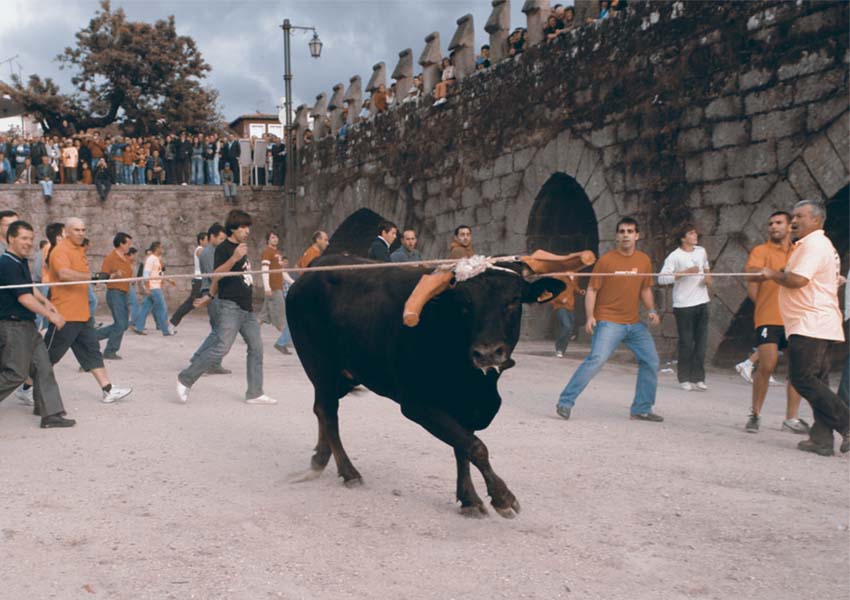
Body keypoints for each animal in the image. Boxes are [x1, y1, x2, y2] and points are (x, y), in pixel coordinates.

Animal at [286, 251, 593, 517]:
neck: (476, 384)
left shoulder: (467, 407)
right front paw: (502, 497)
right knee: (328, 412)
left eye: (514, 300)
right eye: (465, 304)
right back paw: (349, 472)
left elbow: (463, 447)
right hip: (319, 364)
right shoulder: (417, 404)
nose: (487, 353)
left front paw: (469, 499)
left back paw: (320, 459)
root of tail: (313, 270)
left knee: (322, 410)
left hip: (343, 374)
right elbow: (475, 446)